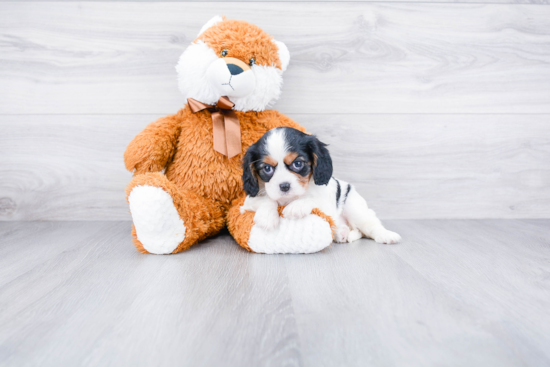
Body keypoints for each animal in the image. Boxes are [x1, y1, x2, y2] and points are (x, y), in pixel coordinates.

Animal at [239, 128, 404, 246]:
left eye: (298, 164)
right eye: (267, 169)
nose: (284, 186)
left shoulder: (326, 203)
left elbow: (313, 199)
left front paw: (296, 207)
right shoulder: (247, 202)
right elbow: (266, 200)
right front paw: (267, 217)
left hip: (355, 208)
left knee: (369, 226)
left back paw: (386, 235)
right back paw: (341, 233)